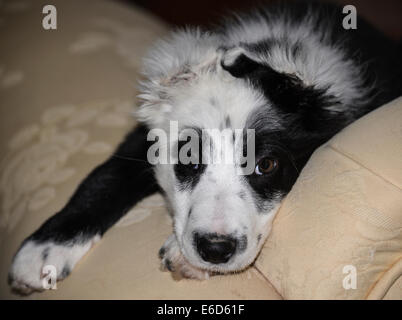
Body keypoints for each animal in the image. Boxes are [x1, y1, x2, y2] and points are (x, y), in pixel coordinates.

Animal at [7, 1, 400, 294]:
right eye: (188, 158)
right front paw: (43, 251)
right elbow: (105, 176)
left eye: (267, 165)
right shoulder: (144, 138)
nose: (215, 249)